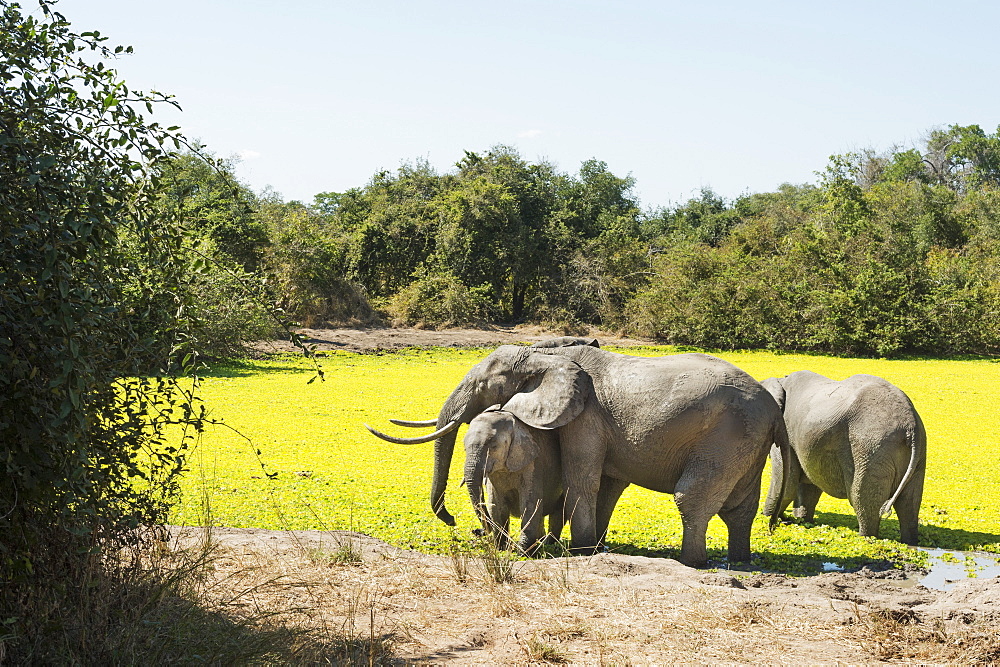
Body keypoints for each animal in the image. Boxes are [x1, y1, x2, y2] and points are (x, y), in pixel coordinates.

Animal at [462, 408, 568, 552]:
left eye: (493, 446)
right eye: (464, 447)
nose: (477, 531)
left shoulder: (533, 464)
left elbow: (529, 503)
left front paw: (523, 552)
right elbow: (496, 506)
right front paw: (501, 549)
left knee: (559, 512)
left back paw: (547, 543)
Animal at [760, 368, 924, 544]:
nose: (787, 519)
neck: (780, 380)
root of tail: (910, 424)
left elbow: (787, 482)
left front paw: (767, 518)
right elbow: (808, 485)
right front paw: (802, 521)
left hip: (871, 449)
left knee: (863, 501)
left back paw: (865, 538)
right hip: (916, 456)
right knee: (909, 504)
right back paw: (910, 542)